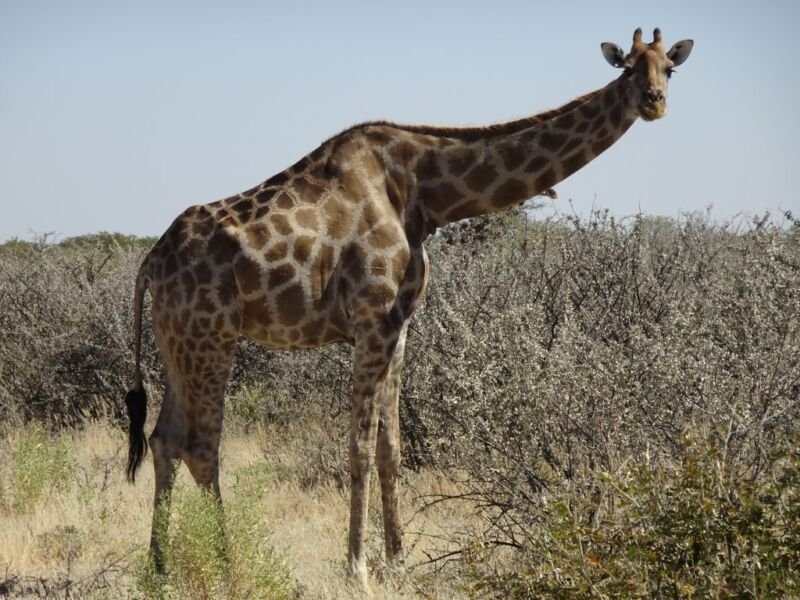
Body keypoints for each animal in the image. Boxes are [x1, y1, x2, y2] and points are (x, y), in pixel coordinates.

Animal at [124, 28, 693, 585]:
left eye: (670, 68)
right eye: (628, 69)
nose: (655, 102)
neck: (424, 195)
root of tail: (150, 263)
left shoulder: (399, 327)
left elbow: (390, 448)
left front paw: (398, 563)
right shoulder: (371, 318)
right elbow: (357, 447)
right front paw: (357, 569)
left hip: (177, 342)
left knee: (163, 439)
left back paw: (160, 568)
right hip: (212, 338)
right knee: (201, 447)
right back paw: (229, 566)